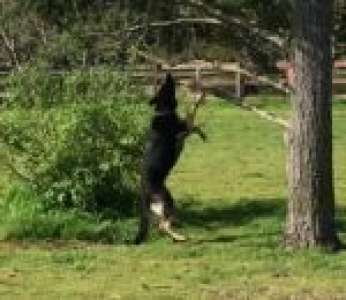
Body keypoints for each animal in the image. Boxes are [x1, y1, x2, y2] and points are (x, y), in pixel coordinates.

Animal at [134, 72, 205, 244]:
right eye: (166, 86)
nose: (168, 73)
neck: (163, 111)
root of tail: (143, 194)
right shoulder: (181, 131)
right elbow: (192, 113)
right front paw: (198, 97)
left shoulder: (184, 132)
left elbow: (194, 125)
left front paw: (202, 134)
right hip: (167, 201)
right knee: (162, 225)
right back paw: (180, 236)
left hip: (163, 205)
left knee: (161, 225)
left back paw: (178, 236)